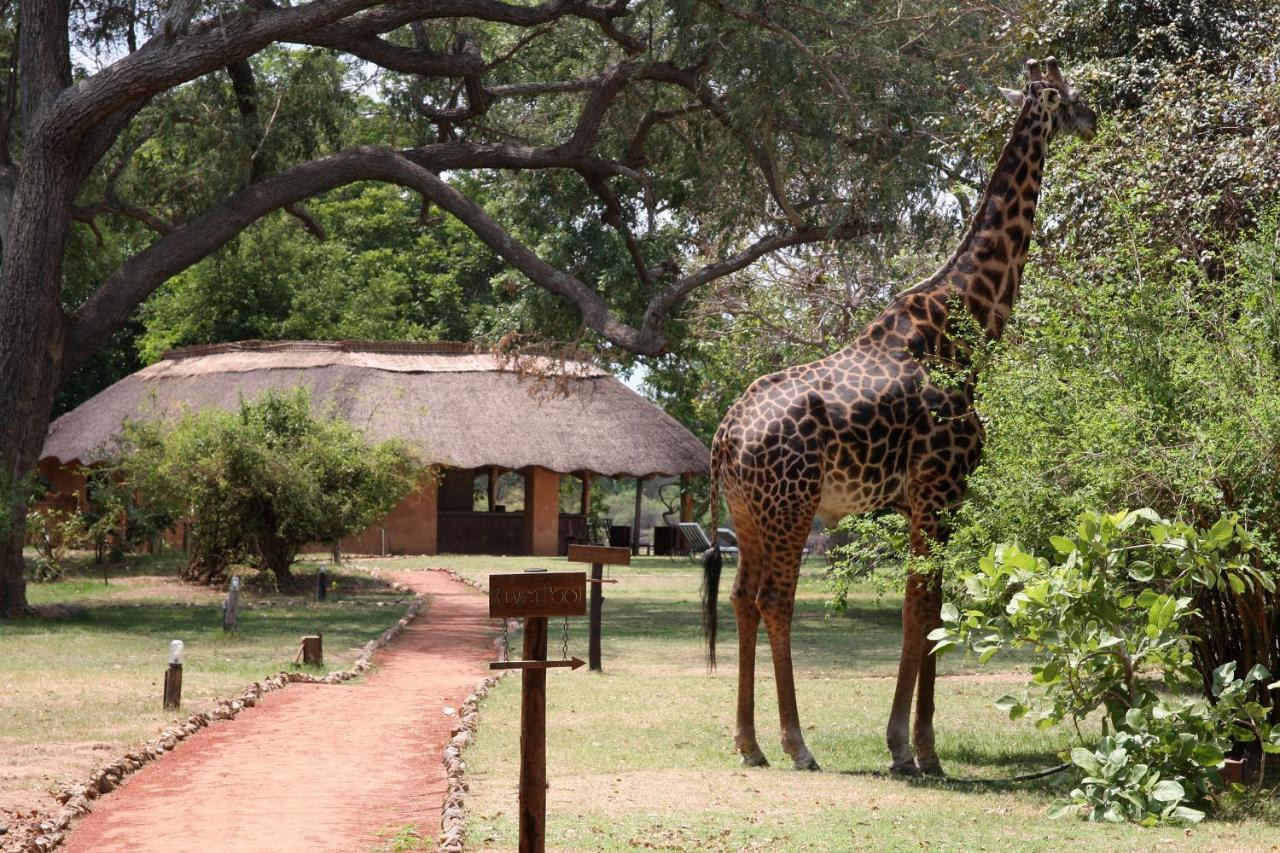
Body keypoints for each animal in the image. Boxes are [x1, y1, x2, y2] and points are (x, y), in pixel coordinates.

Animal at [706, 58, 1095, 768]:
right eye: (1064, 94)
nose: (1094, 117)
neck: (967, 331)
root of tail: (724, 437)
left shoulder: (921, 499)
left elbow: (925, 610)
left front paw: (905, 743)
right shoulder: (942, 490)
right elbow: (927, 610)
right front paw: (917, 748)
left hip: (748, 513)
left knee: (742, 597)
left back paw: (749, 743)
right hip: (793, 505)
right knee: (776, 599)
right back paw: (797, 744)